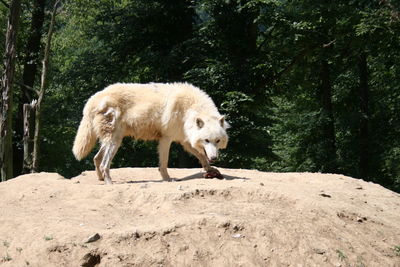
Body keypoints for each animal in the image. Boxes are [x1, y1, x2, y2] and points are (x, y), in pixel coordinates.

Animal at [71, 82, 228, 185]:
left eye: (217, 141)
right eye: (206, 140)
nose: (214, 158)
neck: (189, 109)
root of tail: (92, 100)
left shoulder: (185, 141)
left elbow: (201, 156)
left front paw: (210, 168)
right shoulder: (166, 139)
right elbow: (163, 164)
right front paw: (167, 179)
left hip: (114, 140)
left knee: (96, 158)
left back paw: (101, 179)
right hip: (115, 142)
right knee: (104, 163)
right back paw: (109, 182)